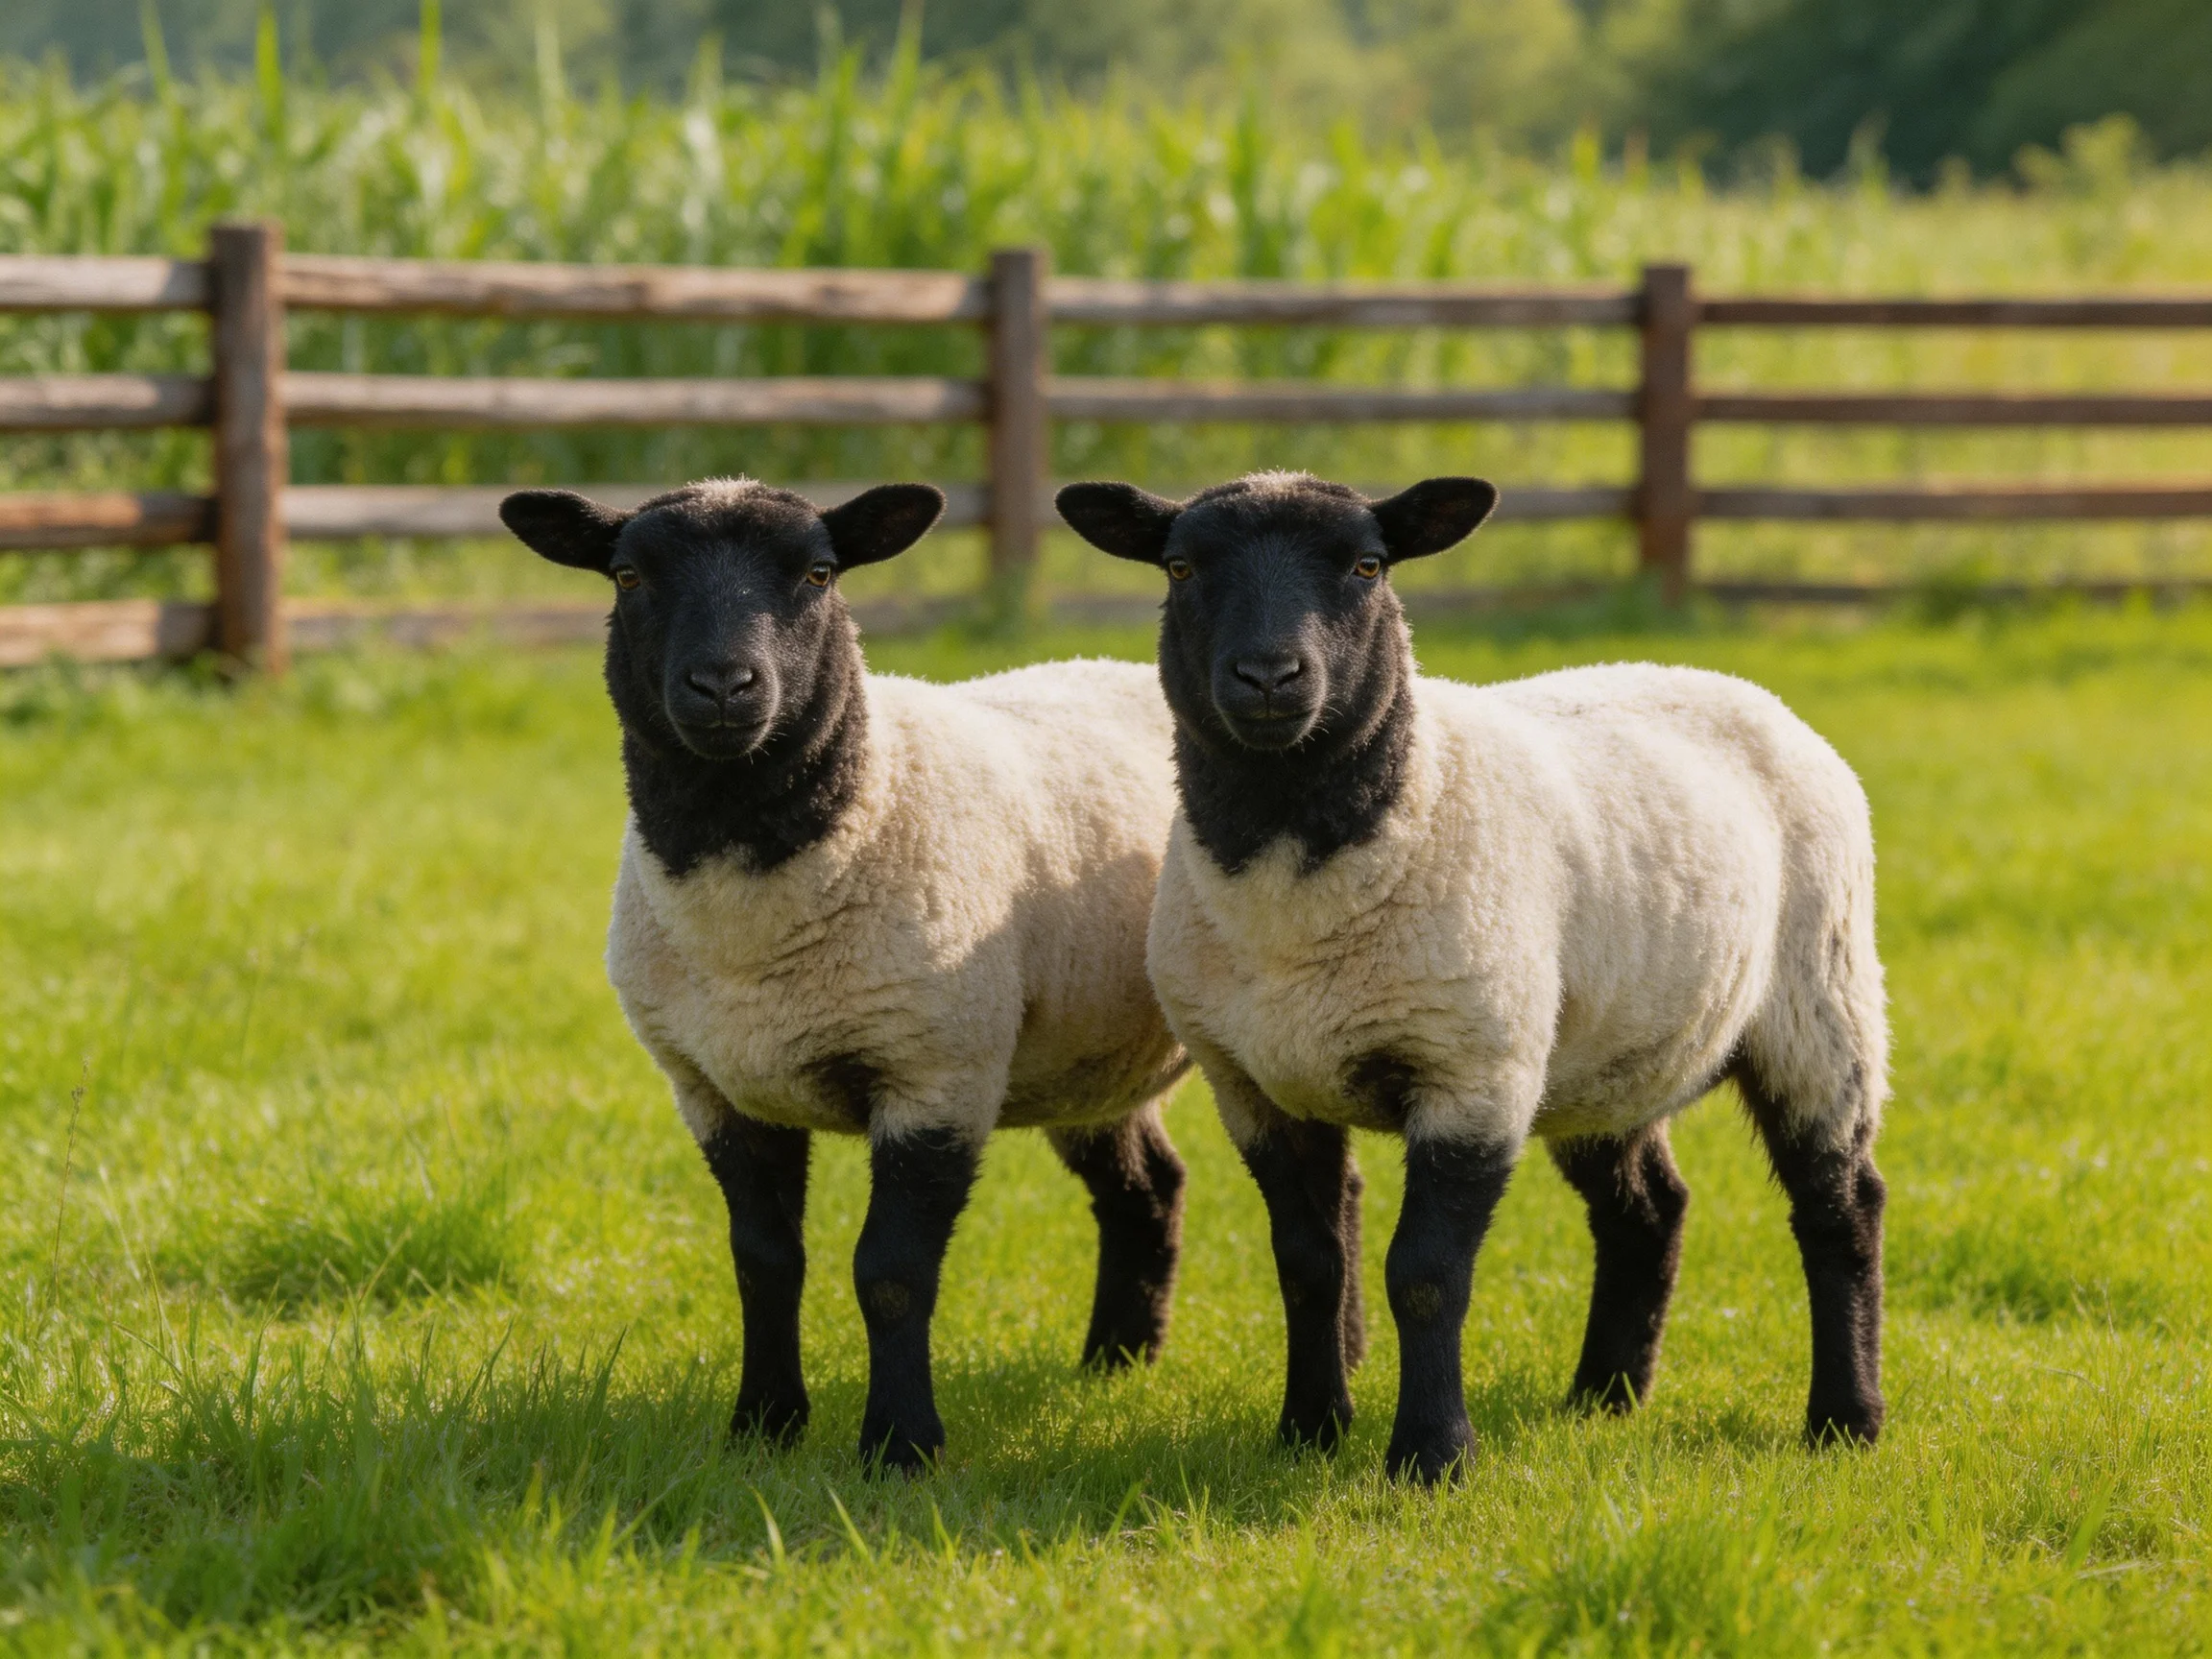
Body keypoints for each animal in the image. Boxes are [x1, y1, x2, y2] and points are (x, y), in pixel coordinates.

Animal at [500, 478, 1191, 1473]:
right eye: (628, 575)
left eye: (819, 573)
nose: (723, 686)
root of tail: (1114, 662)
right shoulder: (715, 1091)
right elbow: (763, 1264)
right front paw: (763, 1426)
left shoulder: (934, 1071)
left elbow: (891, 1273)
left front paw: (901, 1447)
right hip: (1086, 1059)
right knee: (1147, 1188)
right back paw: (1115, 1366)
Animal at [1058, 470, 1890, 1484]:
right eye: (1179, 566)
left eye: (1368, 566)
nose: (1268, 677)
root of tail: (1729, 683)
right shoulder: (1254, 1088)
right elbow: (1309, 1266)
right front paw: (1309, 1429)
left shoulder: (1471, 1071)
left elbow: (1423, 1275)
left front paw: (1431, 1456)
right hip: (1597, 1050)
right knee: (1648, 1209)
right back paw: (1605, 1397)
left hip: (1821, 1004)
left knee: (1840, 1209)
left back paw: (1845, 1419)